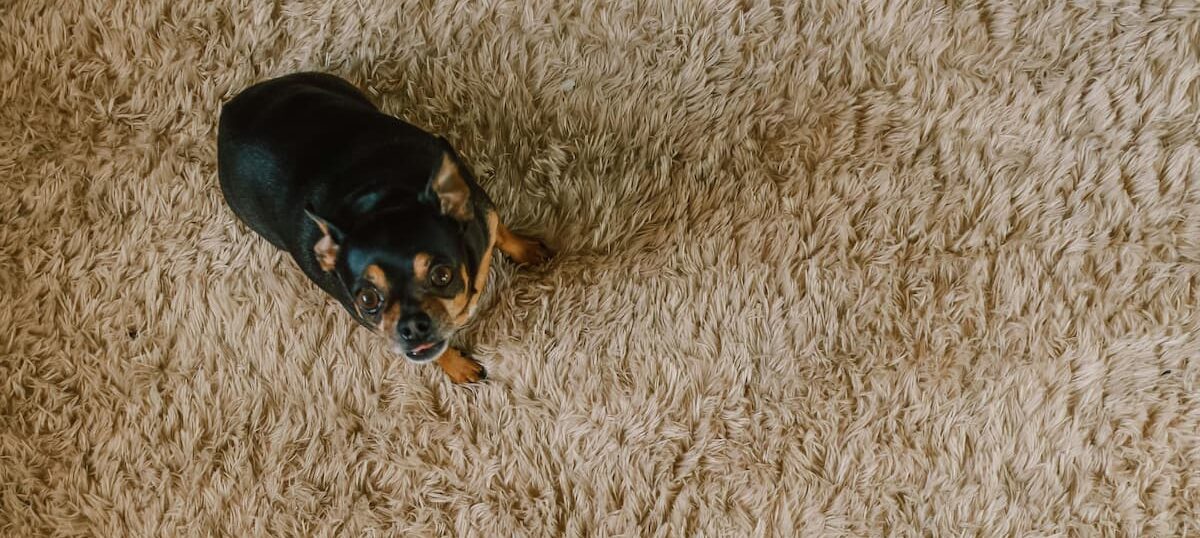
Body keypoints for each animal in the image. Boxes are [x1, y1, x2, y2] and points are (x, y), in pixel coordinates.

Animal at [217, 72, 552, 381]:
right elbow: (436, 354)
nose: (412, 326)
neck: (385, 200)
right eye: (367, 300)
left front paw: (527, 250)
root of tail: (228, 112)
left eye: (442, 275)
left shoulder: (484, 214)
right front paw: (458, 368)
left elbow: (502, 232)